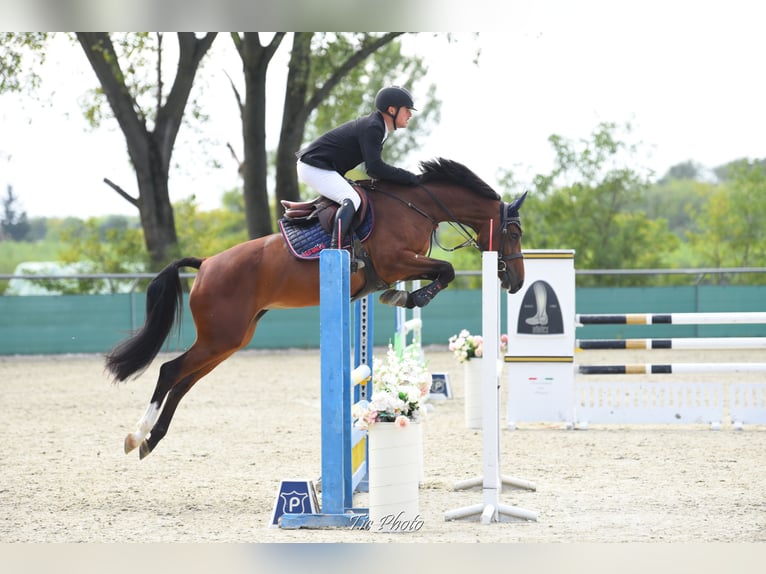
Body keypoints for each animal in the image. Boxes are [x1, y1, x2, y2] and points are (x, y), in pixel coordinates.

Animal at [107, 157, 528, 459]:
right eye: (514, 232)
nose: (517, 282)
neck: (417, 206)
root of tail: (207, 263)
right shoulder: (396, 261)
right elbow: (447, 269)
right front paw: (409, 297)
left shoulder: (402, 265)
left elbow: (442, 271)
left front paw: (402, 296)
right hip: (219, 338)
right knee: (169, 371)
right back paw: (136, 435)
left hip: (229, 341)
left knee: (182, 383)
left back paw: (152, 440)